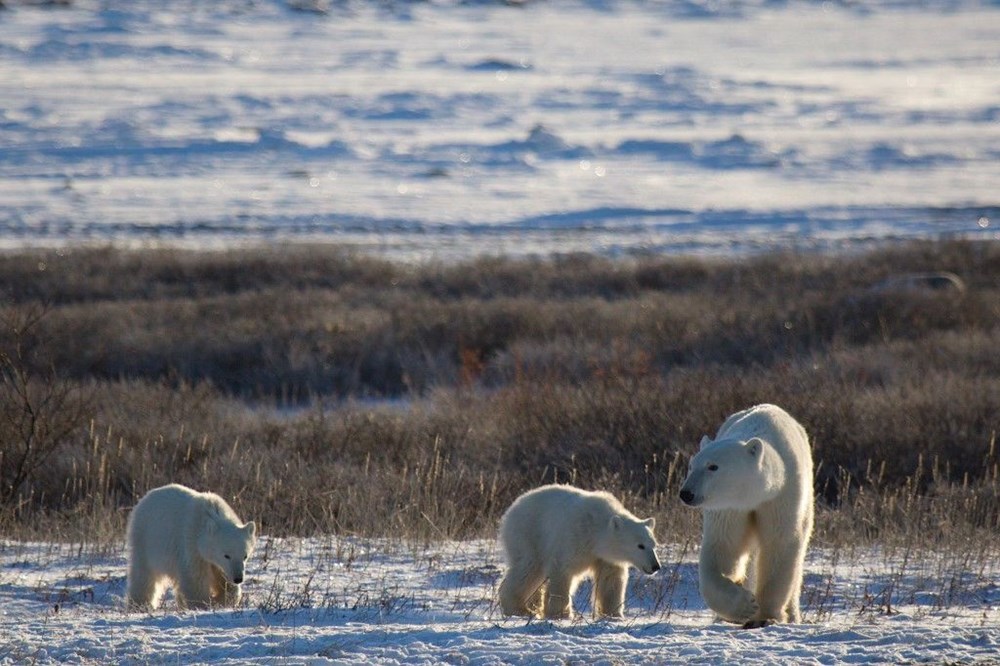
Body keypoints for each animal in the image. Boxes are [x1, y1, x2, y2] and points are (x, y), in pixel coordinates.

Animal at [124, 480, 256, 608]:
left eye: (245, 556)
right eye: (226, 555)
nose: (238, 578)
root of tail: (144, 498)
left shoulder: (216, 561)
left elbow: (223, 579)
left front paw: (221, 599)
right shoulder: (191, 543)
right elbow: (194, 577)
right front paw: (203, 604)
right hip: (145, 538)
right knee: (144, 574)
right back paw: (140, 604)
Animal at [496, 482, 660, 616]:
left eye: (654, 545)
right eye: (640, 545)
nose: (655, 566)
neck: (595, 530)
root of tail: (511, 509)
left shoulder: (606, 556)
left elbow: (610, 579)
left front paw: (613, 615)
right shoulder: (574, 538)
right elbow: (562, 571)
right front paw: (560, 614)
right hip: (528, 534)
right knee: (528, 569)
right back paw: (519, 608)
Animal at [680, 402, 812, 624]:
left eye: (713, 466)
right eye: (691, 466)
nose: (686, 493)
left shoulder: (781, 496)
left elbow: (779, 544)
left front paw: (766, 616)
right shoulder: (730, 508)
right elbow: (724, 547)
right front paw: (744, 606)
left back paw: (793, 615)